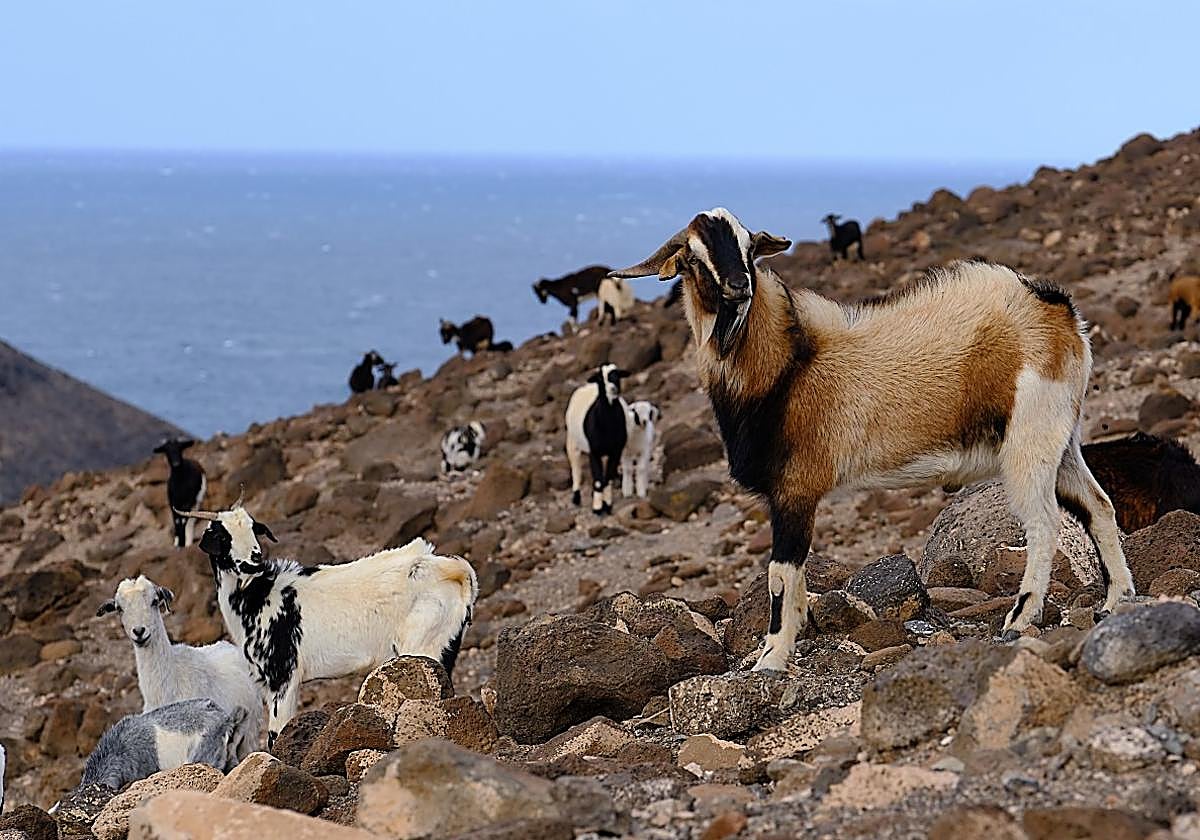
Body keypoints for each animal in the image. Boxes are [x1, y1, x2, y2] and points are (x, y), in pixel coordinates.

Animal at [180, 502, 477, 746]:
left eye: (254, 529)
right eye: (222, 536)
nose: (254, 558)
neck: (258, 594)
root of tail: (454, 572)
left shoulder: (283, 677)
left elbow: (276, 735)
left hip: (425, 644)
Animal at [565, 364, 630, 515]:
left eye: (617, 375)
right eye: (600, 378)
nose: (613, 389)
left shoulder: (616, 451)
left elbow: (608, 478)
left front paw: (608, 505)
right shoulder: (594, 452)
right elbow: (599, 481)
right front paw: (597, 508)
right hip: (572, 442)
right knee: (576, 468)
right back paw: (576, 497)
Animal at [611, 208, 1133, 670]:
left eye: (747, 247)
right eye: (694, 256)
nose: (739, 287)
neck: (786, 365)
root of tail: (1054, 308)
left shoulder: (795, 491)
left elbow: (780, 576)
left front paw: (771, 660)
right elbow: (796, 580)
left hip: (1029, 443)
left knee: (1044, 523)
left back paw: (1021, 618)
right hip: (1062, 442)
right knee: (1098, 506)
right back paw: (1116, 601)